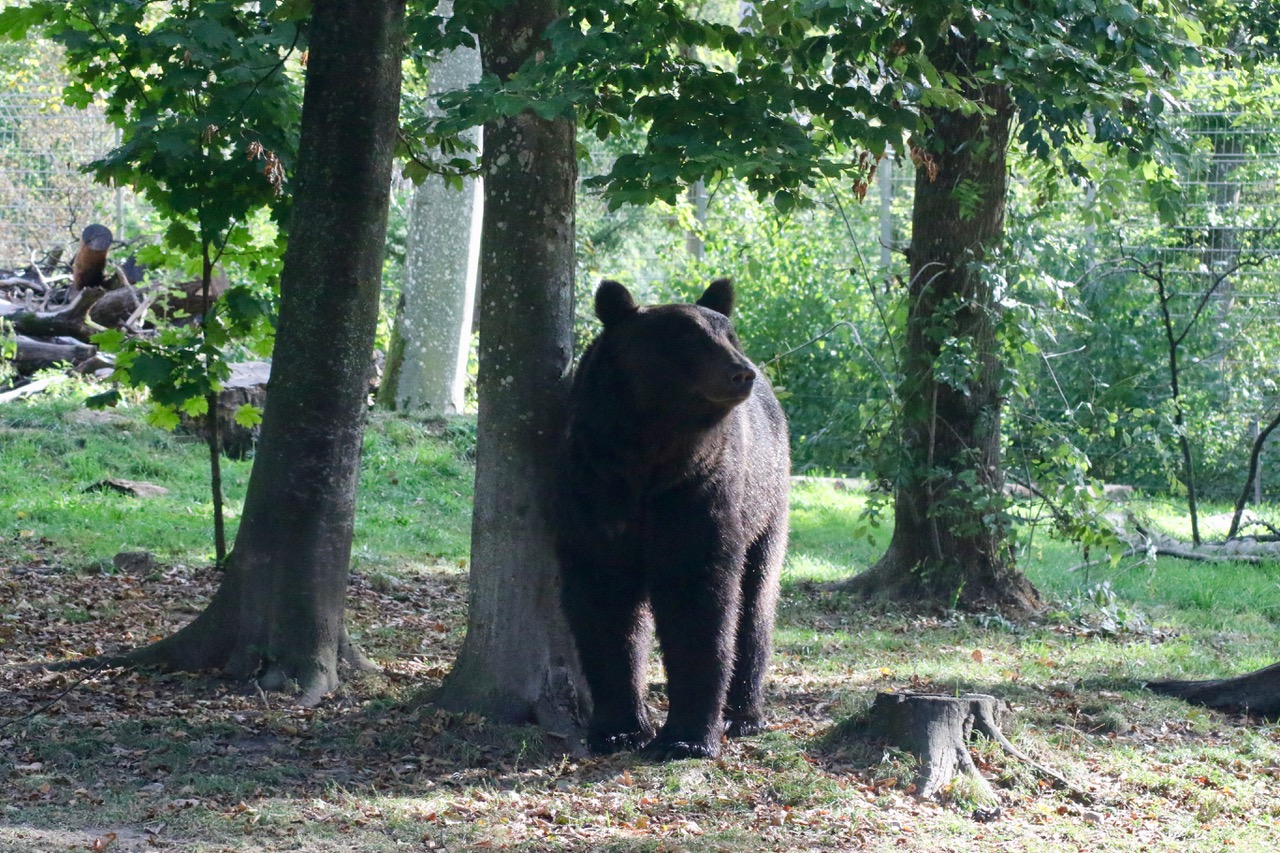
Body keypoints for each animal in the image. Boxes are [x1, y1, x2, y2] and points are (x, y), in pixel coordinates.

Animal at [552, 279, 783, 758]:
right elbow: (604, 605)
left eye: (728, 334)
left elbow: (697, 599)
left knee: (756, 602)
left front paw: (687, 737)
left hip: (766, 504)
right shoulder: (594, 487)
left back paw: (744, 715)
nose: (742, 372)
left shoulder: (696, 490)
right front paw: (619, 729)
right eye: (687, 338)